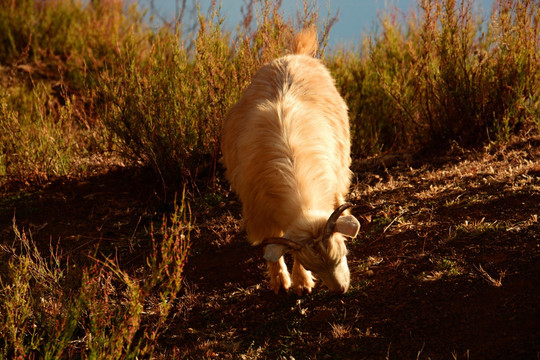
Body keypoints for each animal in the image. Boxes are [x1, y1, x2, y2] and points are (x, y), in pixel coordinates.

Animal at [219, 26, 358, 294]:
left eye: (343, 253)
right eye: (315, 266)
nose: (341, 291)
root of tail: (294, 55)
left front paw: (301, 283)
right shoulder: (258, 212)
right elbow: (271, 245)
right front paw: (281, 282)